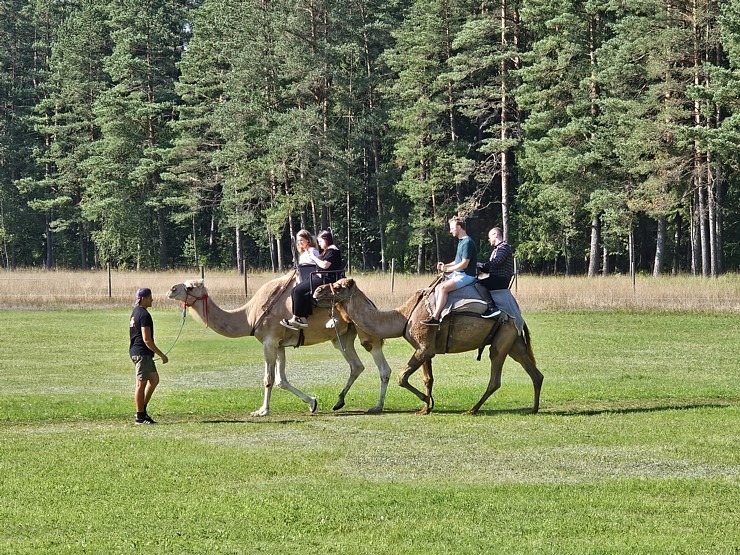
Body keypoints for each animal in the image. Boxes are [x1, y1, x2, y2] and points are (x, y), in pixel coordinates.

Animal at [168, 274, 394, 416]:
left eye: (189, 287)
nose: (171, 289)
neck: (249, 316)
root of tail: (370, 302)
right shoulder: (280, 345)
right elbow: (281, 380)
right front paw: (312, 403)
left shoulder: (269, 342)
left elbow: (268, 379)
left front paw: (262, 411)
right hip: (344, 337)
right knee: (356, 365)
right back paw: (338, 402)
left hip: (365, 331)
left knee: (382, 366)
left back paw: (378, 406)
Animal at [312, 278, 544, 416]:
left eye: (338, 286)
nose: (317, 290)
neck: (404, 316)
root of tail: (518, 315)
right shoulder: (426, 349)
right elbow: (427, 379)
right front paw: (425, 408)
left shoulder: (424, 347)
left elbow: (402, 377)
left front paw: (427, 402)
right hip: (513, 342)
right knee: (535, 373)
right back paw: (533, 409)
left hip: (502, 341)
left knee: (495, 379)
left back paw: (472, 409)